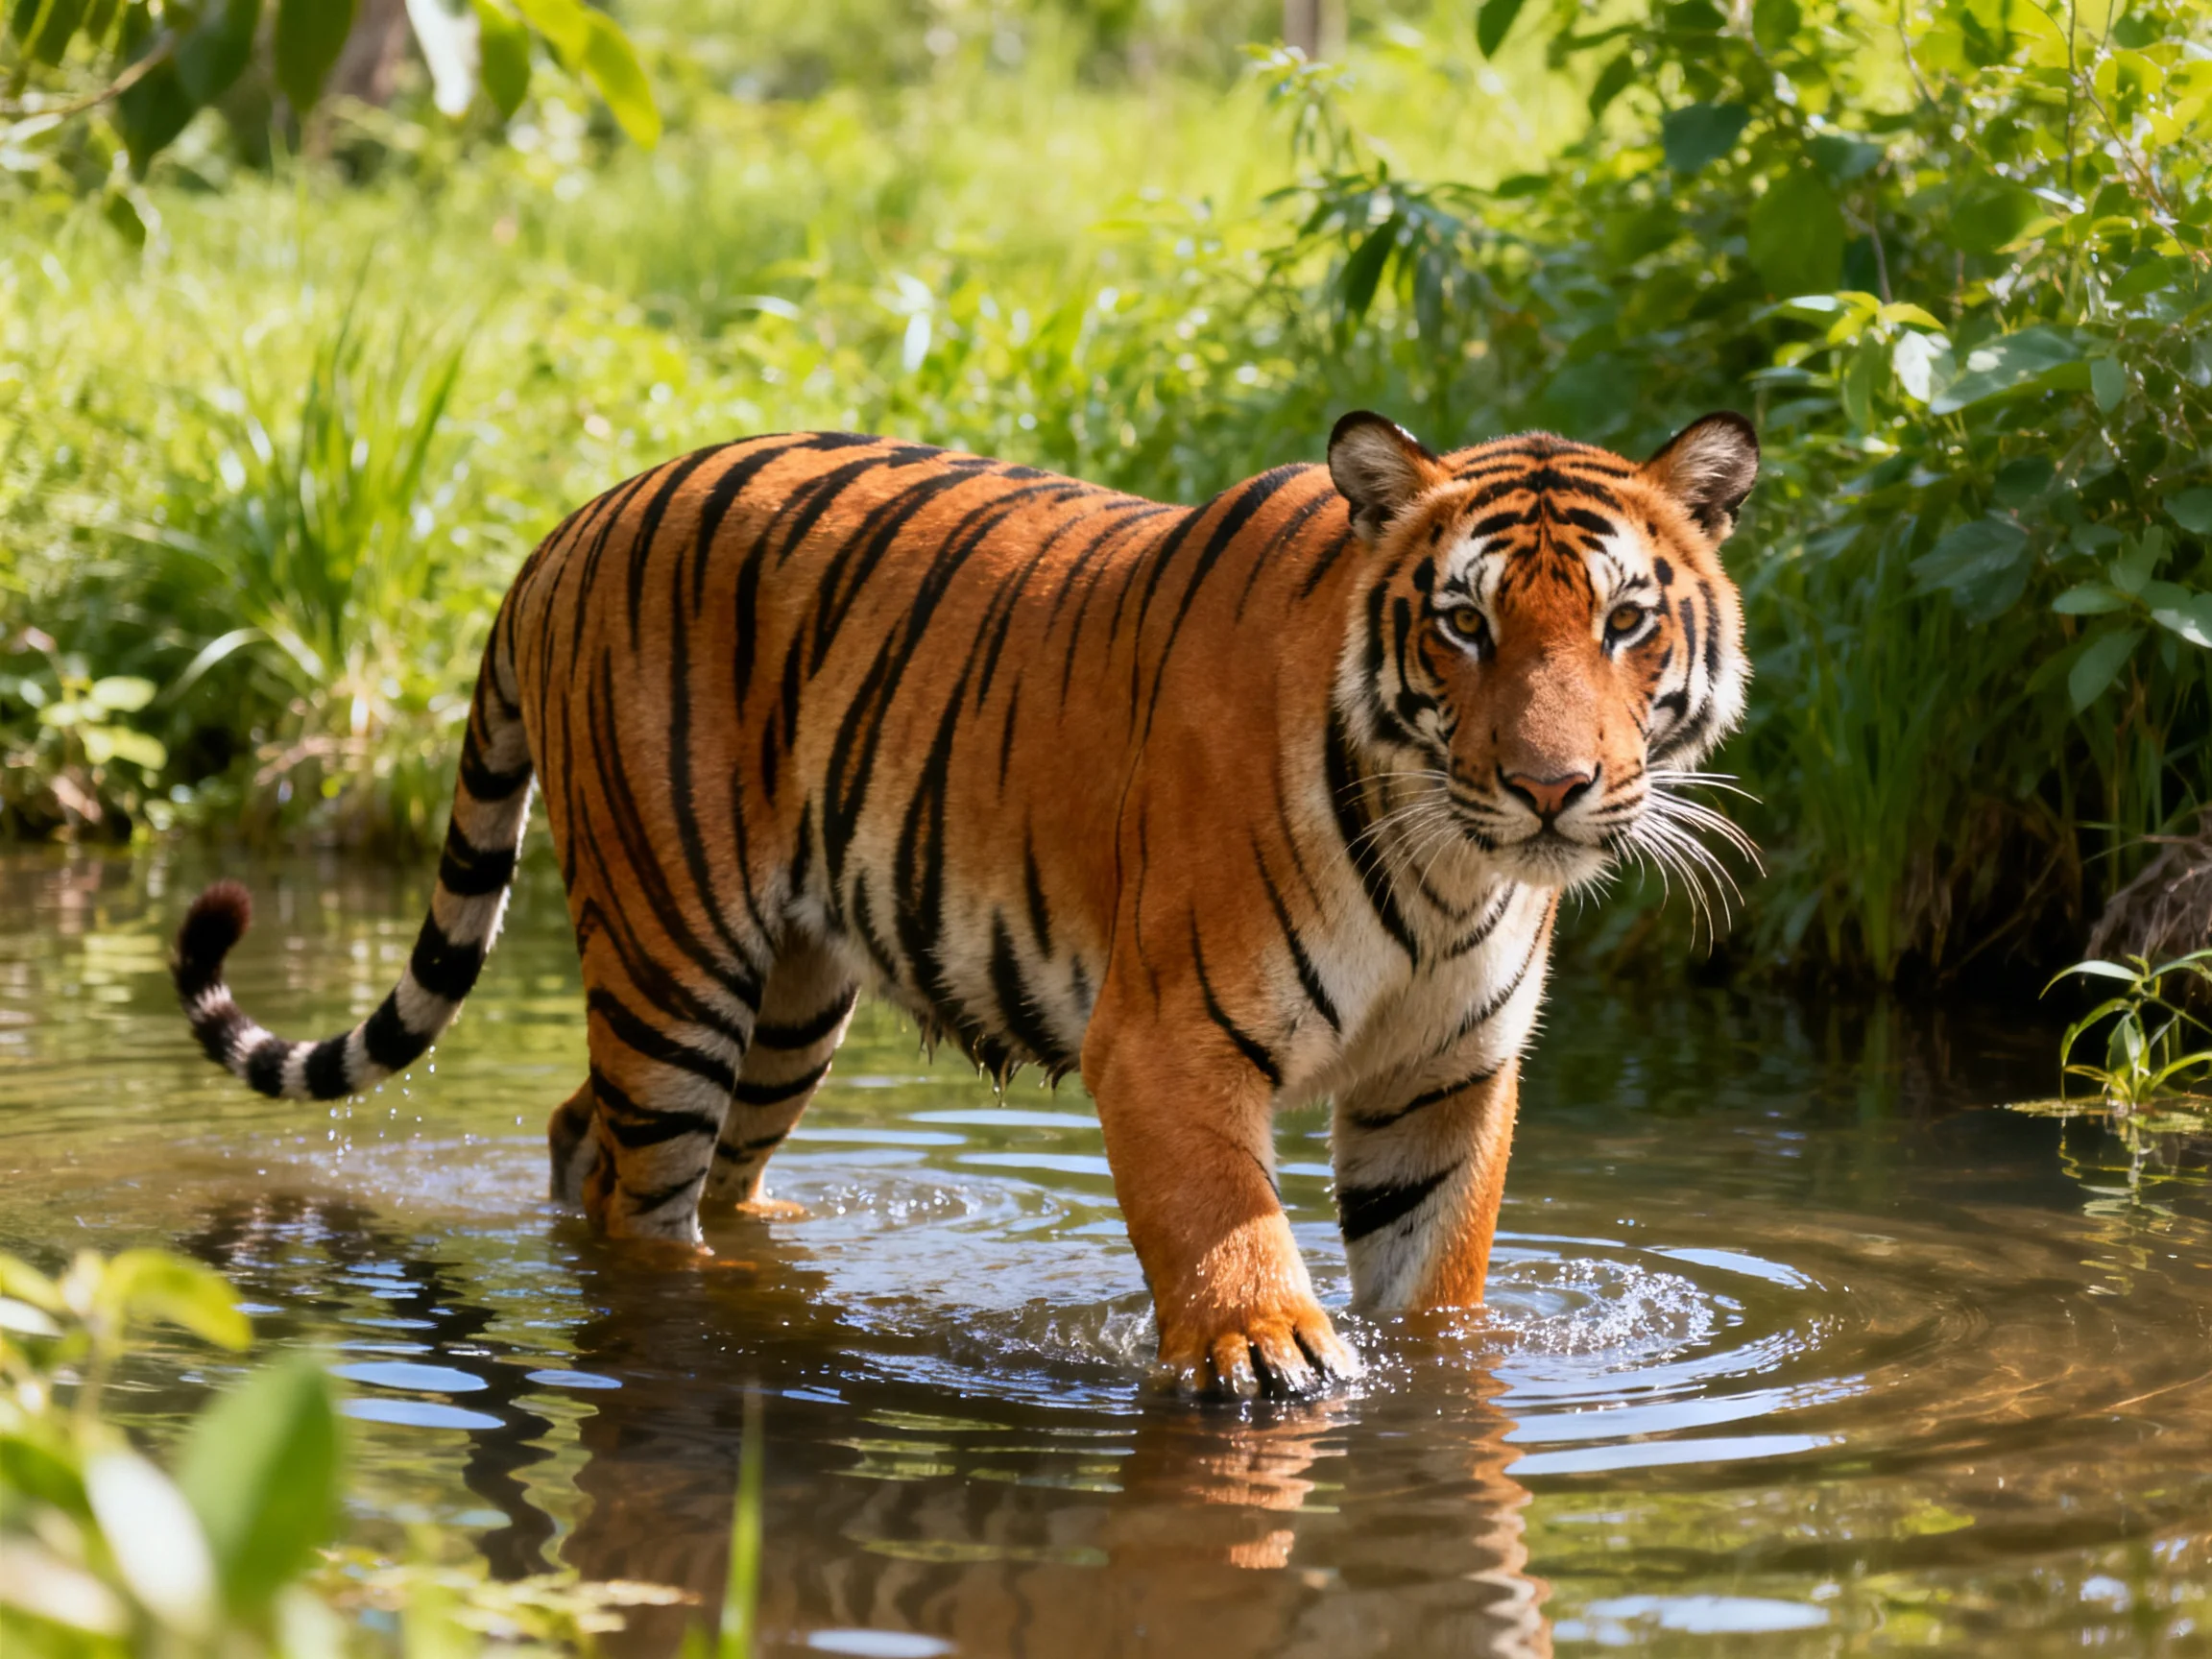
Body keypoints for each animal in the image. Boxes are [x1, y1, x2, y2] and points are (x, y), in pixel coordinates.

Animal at [171, 410, 1756, 1397]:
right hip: (677, 967)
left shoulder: (1442, 1078)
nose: (1552, 787)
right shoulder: (1166, 1040)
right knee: (637, 1201)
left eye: (1626, 620)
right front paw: (1264, 1352)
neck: (1448, 865)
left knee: (594, 1139)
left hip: (789, 1003)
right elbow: (1224, 1222)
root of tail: (566, 527)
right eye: (1463, 624)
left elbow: (1436, 1289)